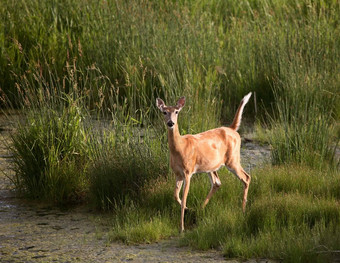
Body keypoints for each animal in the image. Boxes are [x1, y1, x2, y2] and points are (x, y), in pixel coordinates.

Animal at [157, 93, 252, 233]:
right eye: (164, 112)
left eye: (176, 111)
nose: (171, 123)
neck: (180, 147)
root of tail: (232, 129)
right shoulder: (178, 173)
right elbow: (175, 195)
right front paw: (189, 210)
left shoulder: (188, 172)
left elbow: (183, 199)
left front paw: (182, 228)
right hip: (211, 166)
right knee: (217, 183)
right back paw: (200, 210)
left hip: (233, 159)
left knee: (246, 177)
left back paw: (243, 210)